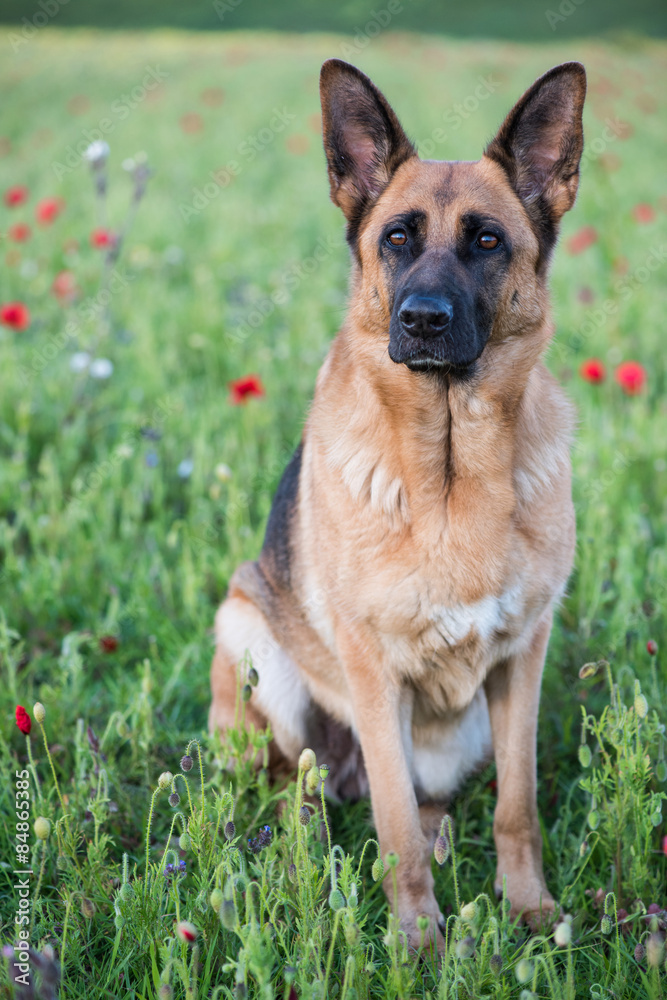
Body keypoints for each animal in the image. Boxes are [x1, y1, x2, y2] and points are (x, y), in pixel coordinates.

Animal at [211, 58, 588, 948]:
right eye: (396, 238)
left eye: (486, 240)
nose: (421, 320)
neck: (451, 472)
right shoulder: (373, 674)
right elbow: (390, 827)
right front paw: (417, 941)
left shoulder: (522, 660)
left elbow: (516, 806)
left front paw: (527, 908)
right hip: (248, 635)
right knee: (301, 787)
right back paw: (303, 863)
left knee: (425, 803)